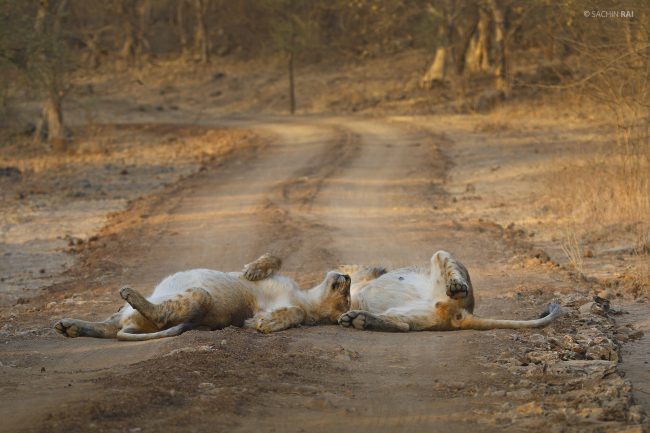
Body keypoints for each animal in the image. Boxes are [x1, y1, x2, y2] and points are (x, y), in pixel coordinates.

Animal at [54, 253, 351, 341]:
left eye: (347, 301)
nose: (347, 278)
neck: (306, 296)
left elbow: (295, 313)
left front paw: (265, 323)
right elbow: (274, 258)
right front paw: (253, 269)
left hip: (200, 296)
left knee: (160, 315)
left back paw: (130, 294)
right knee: (109, 326)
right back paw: (68, 325)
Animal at [337, 250, 561, 332]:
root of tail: (462, 313)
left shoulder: (363, 271)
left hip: (440, 255)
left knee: (453, 272)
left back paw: (456, 288)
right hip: (410, 316)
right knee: (403, 326)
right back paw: (359, 319)